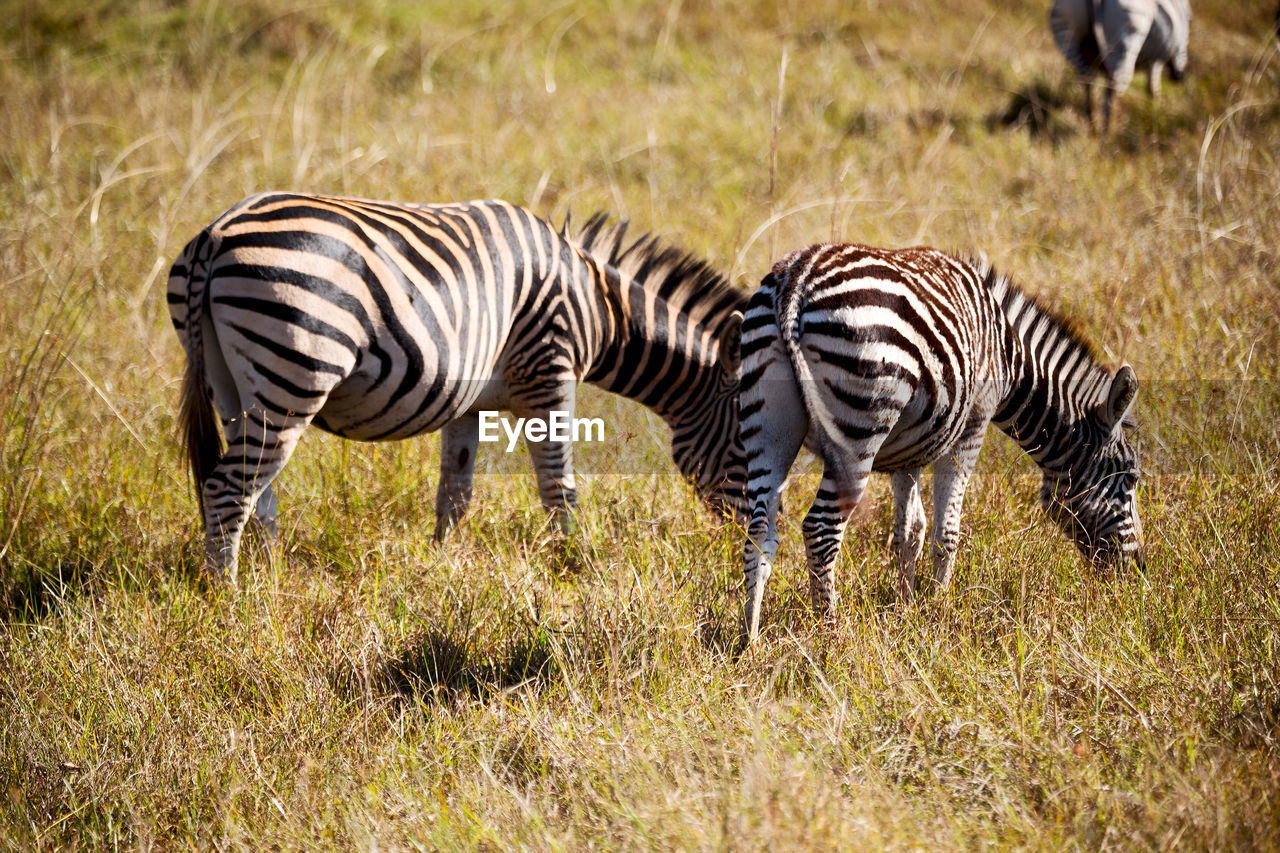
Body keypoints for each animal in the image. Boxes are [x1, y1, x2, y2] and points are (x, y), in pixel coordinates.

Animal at [170, 190, 747, 578]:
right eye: (748, 440)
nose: (749, 540)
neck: (599, 306)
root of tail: (214, 236)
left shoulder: (467, 401)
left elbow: (455, 494)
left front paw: (438, 565)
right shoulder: (549, 371)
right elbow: (559, 489)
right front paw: (573, 566)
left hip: (232, 388)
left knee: (255, 495)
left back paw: (268, 582)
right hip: (293, 374)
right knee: (227, 490)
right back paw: (230, 601)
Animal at [737, 242, 1146, 640]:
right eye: (1130, 479)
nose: (1139, 571)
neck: (1008, 355)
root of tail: (796, 282)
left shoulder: (907, 452)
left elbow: (908, 533)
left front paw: (904, 607)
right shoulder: (970, 430)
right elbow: (946, 533)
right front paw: (939, 610)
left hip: (768, 429)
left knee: (759, 532)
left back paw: (749, 641)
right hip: (858, 430)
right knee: (821, 531)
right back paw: (830, 635)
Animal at [1049, 0, 1187, 131]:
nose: (1179, 77)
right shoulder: (1156, 59)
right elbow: (1154, 91)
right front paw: (1155, 117)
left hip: (1068, 38)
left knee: (1089, 84)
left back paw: (1094, 130)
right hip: (1124, 43)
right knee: (1112, 94)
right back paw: (1109, 135)